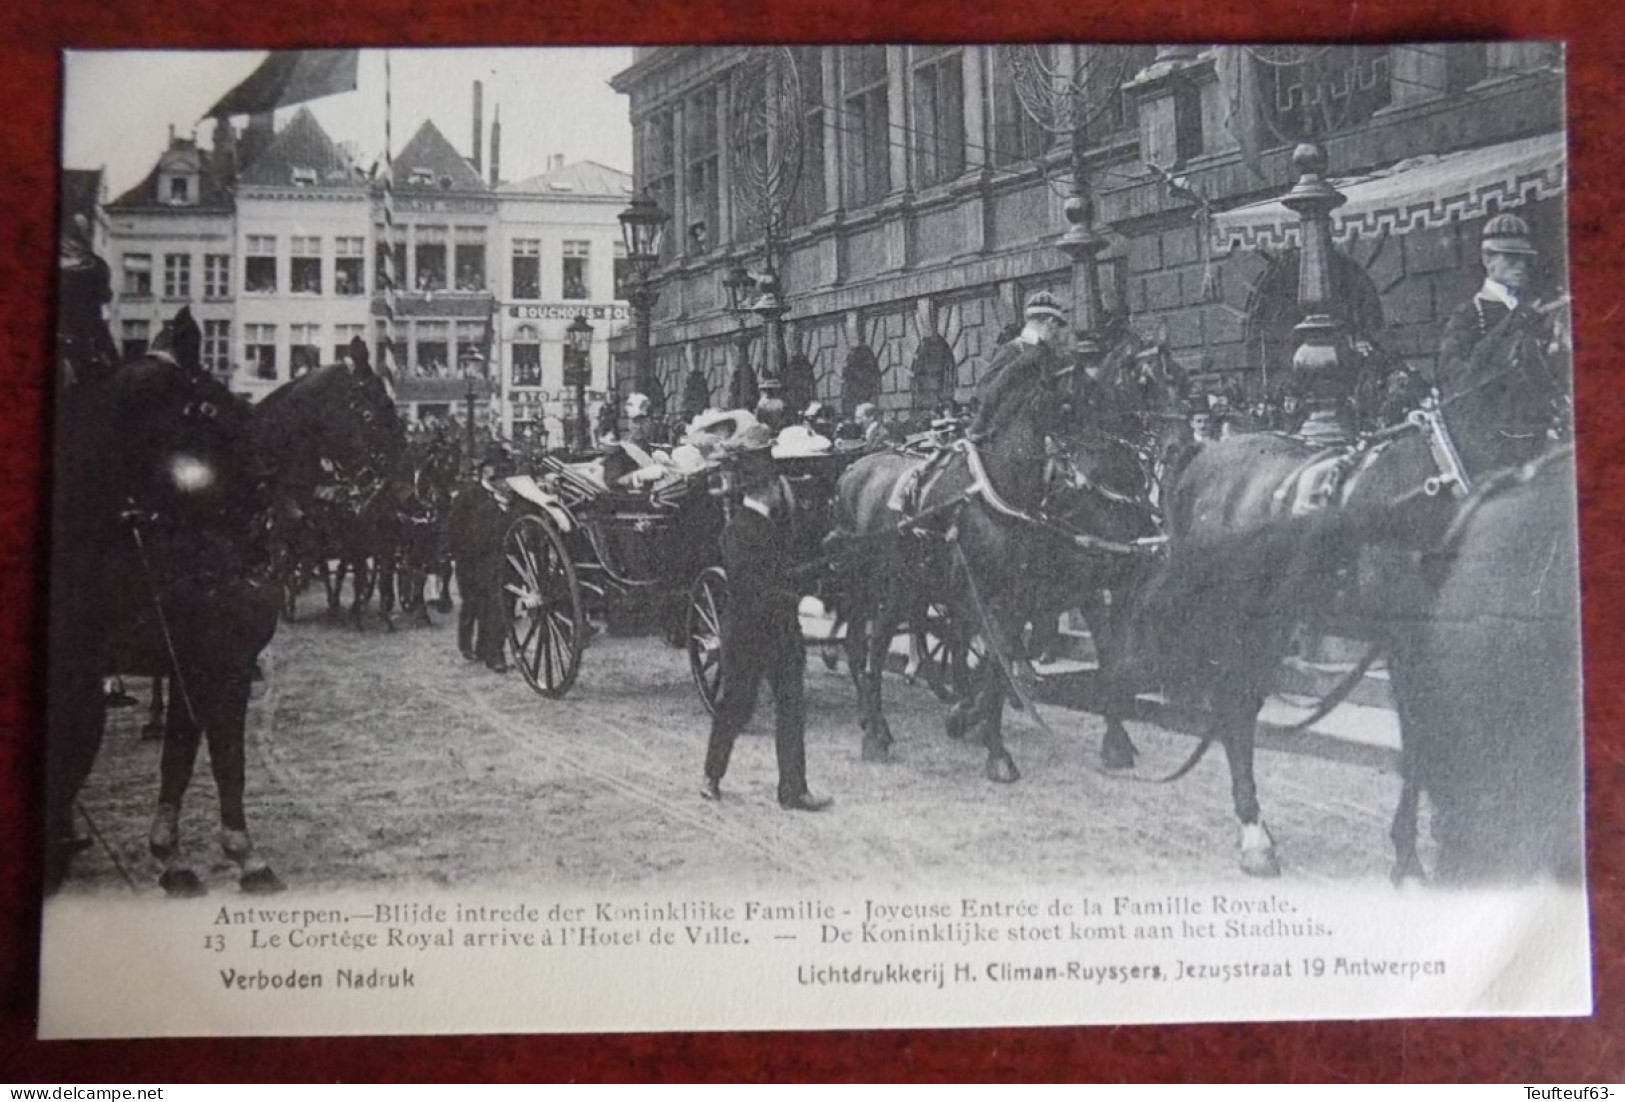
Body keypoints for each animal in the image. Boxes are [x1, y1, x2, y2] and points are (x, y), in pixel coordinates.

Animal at [46, 310, 282, 897]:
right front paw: (243, 856)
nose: (267, 476)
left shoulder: (192, 665)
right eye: (212, 405)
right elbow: (225, 756)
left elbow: (180, 755)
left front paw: (172, 857)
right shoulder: (222, 664)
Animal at [1131, 316, 1573, 877]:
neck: (1439, 476)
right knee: (1235, 705)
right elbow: (1419, 736)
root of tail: (1202, 454)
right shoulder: (1409, 642)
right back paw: (1253, 832)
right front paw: (1410, 856)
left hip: (1272, 622)